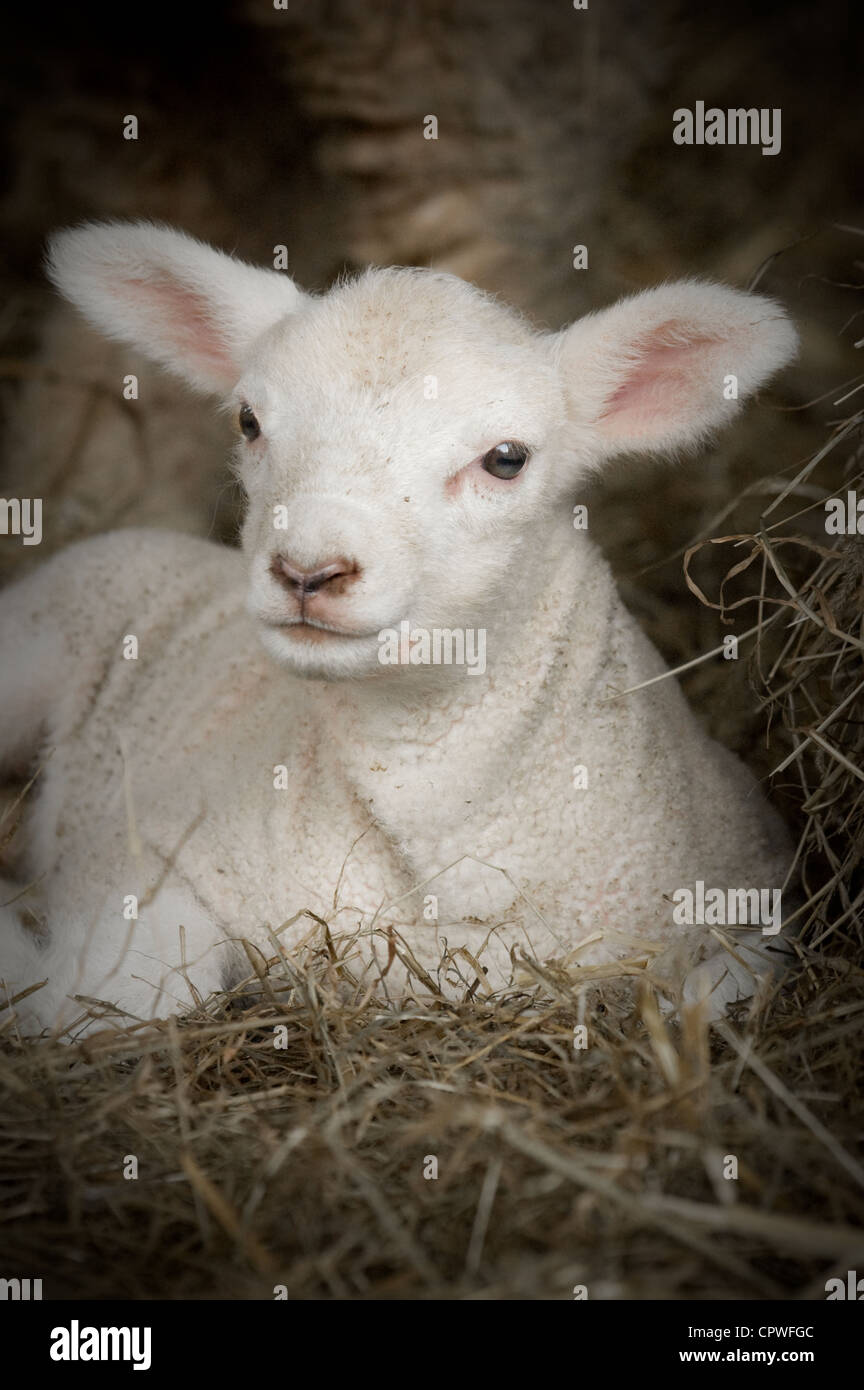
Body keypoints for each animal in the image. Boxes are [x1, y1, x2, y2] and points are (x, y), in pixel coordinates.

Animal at [0, 220, 798, 1036]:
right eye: (249, 421)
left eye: (506, 459)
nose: (308, 569)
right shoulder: (139, 852)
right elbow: (139, 995)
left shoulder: (760, 890)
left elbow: (717, 990)